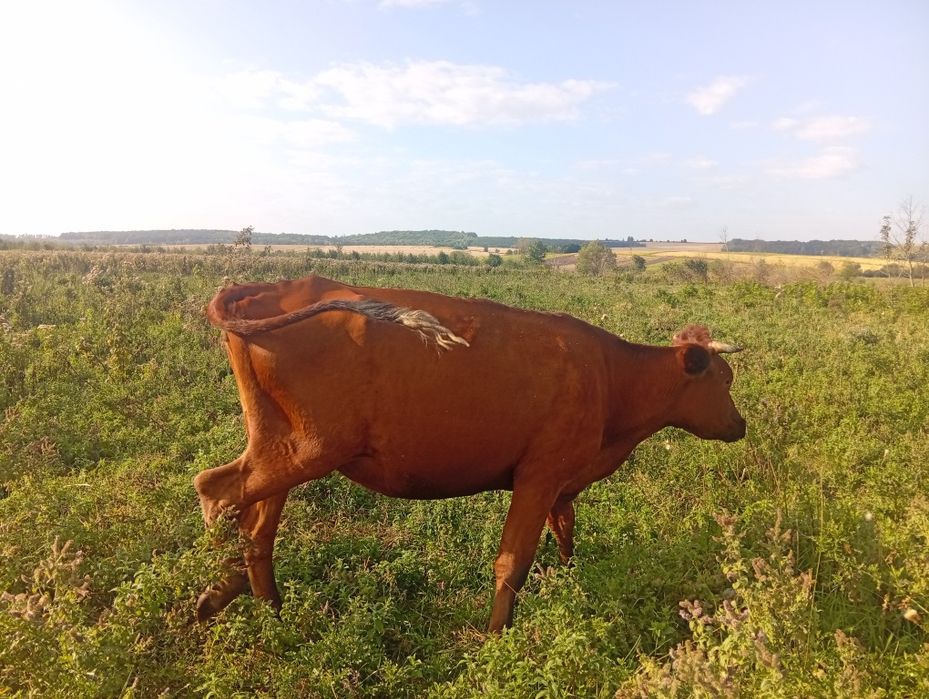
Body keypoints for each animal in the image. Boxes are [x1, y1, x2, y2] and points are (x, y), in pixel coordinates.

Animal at [194, 274, 745, 632]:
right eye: (723, 379)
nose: (740, 425)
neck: (610, 377)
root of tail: (273, 287)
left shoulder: (561, 482)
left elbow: (565, 534)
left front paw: (570, 583)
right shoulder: (539, 477)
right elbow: (512, 562)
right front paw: (496, 638)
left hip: (283, 448)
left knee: (255, 527)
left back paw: (267, 609)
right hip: (311, 448)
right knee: (215, 491)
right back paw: (218, 595)